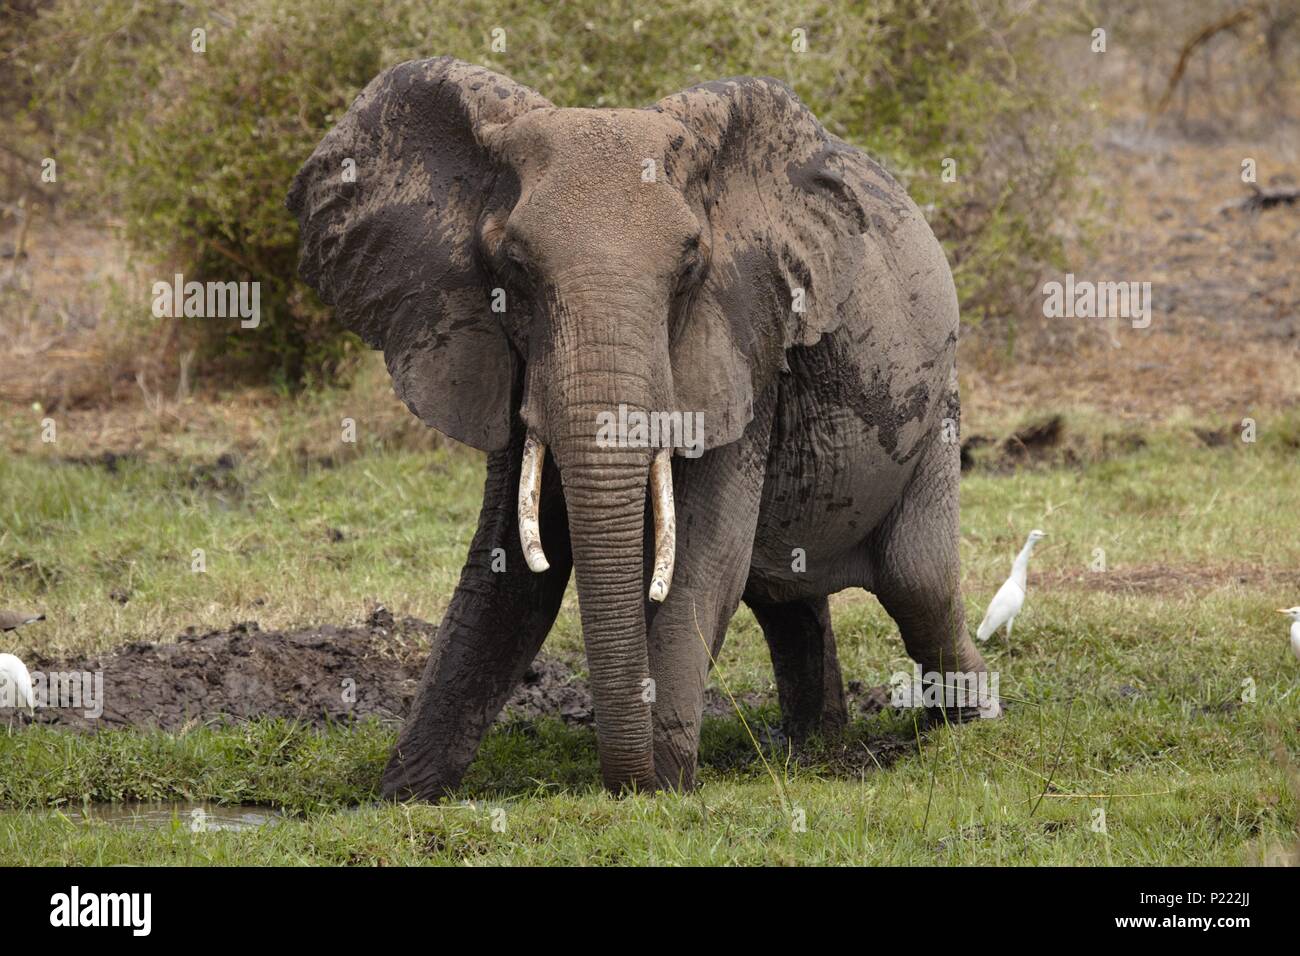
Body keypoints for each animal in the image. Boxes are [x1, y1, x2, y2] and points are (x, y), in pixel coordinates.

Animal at [289, 54, 987, 801]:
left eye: (690, 266)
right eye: (512, 268)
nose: (627, 783)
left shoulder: (744, 338)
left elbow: (702, 560)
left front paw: (661, 788)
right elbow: (510, 573)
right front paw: (401, 794)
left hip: (937, 403)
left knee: (916, 578)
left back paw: (965, 727)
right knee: (788, 596)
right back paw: (814, 751)